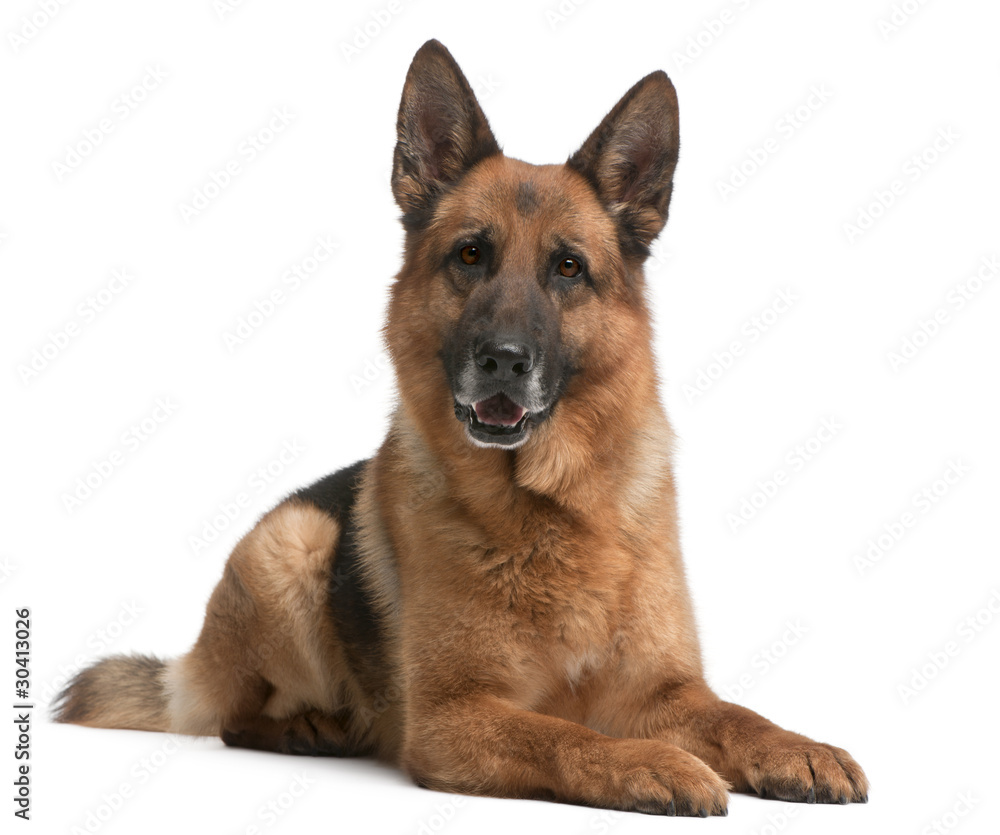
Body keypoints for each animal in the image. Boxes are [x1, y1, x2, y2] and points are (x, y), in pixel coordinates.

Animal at [54, 42, 868, 820]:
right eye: (471, 254)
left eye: (568, 268)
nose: (502, 360)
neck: (550, 508)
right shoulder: (454, 716)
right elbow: (565, 733)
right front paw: (651, 763)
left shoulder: (667, 691)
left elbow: (737, 714)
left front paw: (797, 746)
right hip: (293, 542)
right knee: (235, 719)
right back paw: (311, 727)